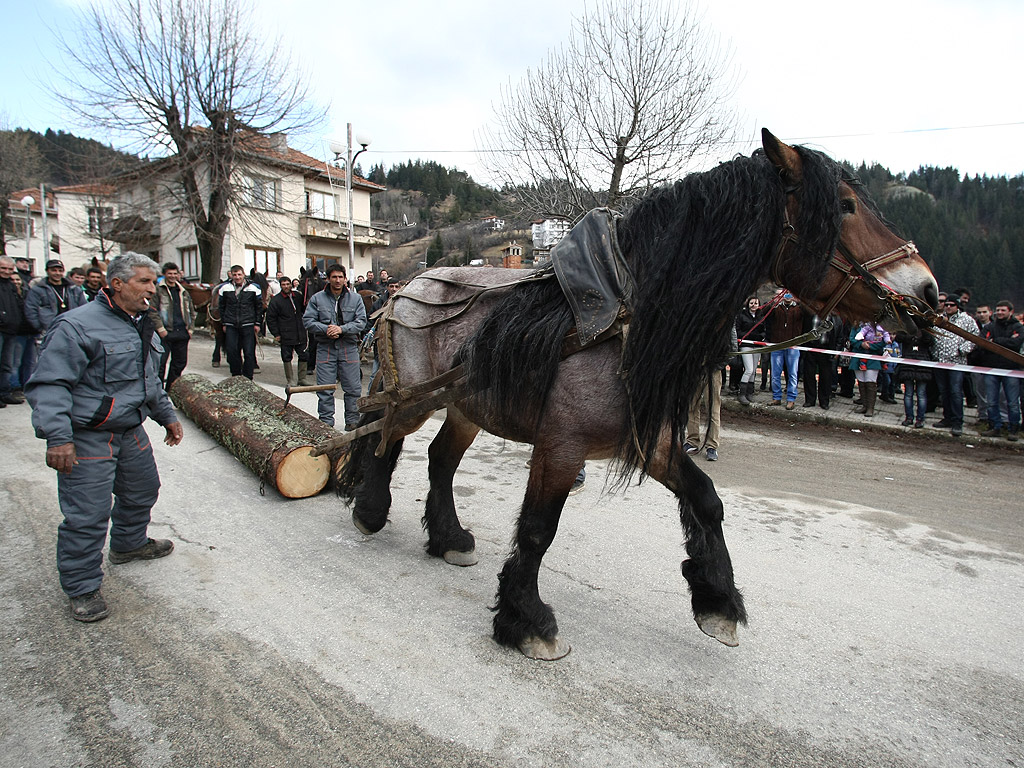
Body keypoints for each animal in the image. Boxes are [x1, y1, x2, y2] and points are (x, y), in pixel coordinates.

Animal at [333, 132, 937, 663]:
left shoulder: (655, 443)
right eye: (845, 206)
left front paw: (718, 601)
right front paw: (527, 622)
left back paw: (449, 538)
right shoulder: (562, 446)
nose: (927, 291)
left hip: (467, 407)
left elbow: (707, 500)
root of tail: (405, 291)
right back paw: (370, 510)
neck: (626, 317)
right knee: (385, 438)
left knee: (438, 459)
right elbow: (538, 530)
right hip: (413, 400)